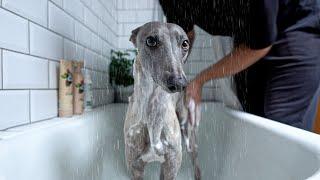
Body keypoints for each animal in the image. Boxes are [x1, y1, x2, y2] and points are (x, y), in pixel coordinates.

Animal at [124, 22, 201, 180]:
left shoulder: (171, 164)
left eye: (185, 43)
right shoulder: (135, 167)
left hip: (187, 132)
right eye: (151, 40)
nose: (179, 84)